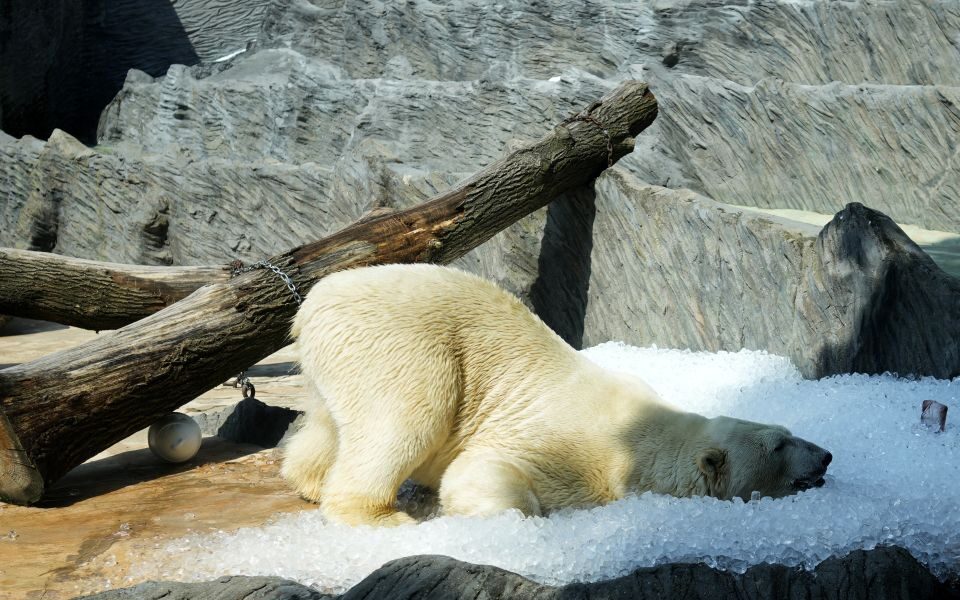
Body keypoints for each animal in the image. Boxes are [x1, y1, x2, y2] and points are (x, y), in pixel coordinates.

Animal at [282, 264, 828, 528]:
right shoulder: (575, 450)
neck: (641, 436)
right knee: (407, 419)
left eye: (791, 432)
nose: (825, 455)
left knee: (335, 422)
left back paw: (310, 480)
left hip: (342, 358)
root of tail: (313, 303)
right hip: (402, 343)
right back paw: (380, 515)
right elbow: (482, 468)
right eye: (779, 445)